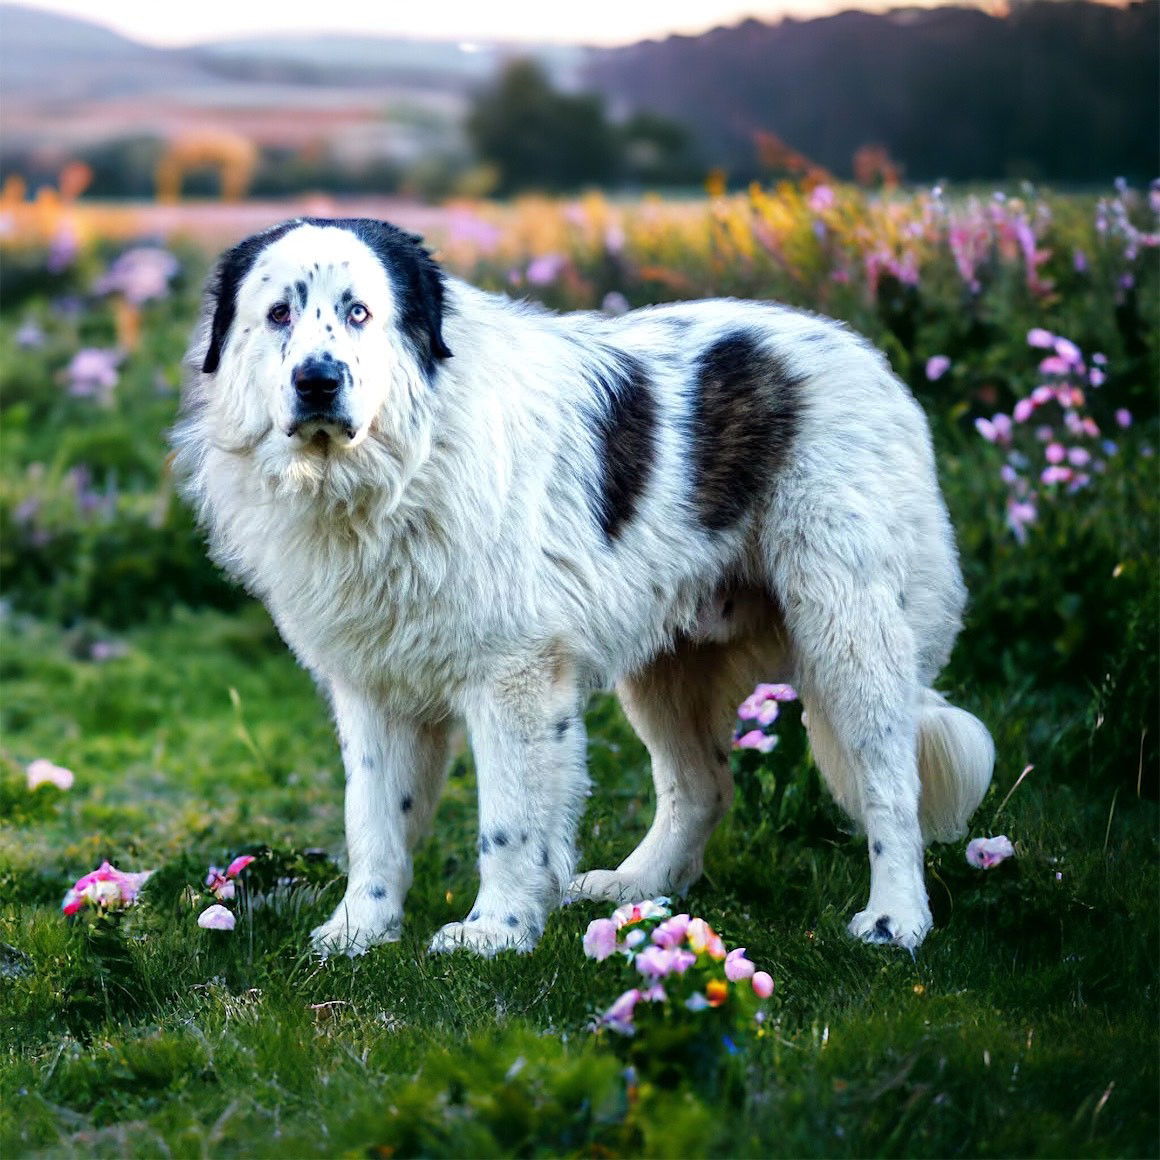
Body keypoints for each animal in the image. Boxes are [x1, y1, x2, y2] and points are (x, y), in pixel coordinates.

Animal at [174, 218, 997, 960]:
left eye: (357, 312)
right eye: (278, 313)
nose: (317, 380)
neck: (390, 474)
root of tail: (867, 357)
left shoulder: (513, 676)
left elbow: (508, 821)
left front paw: (495, 934)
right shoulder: (373, 686)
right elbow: (373, 820)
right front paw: (359, 931)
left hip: (848, 631)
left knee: (890, 784)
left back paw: (895, 921)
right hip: (670, 666)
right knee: (702, 785)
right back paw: (635, 887)